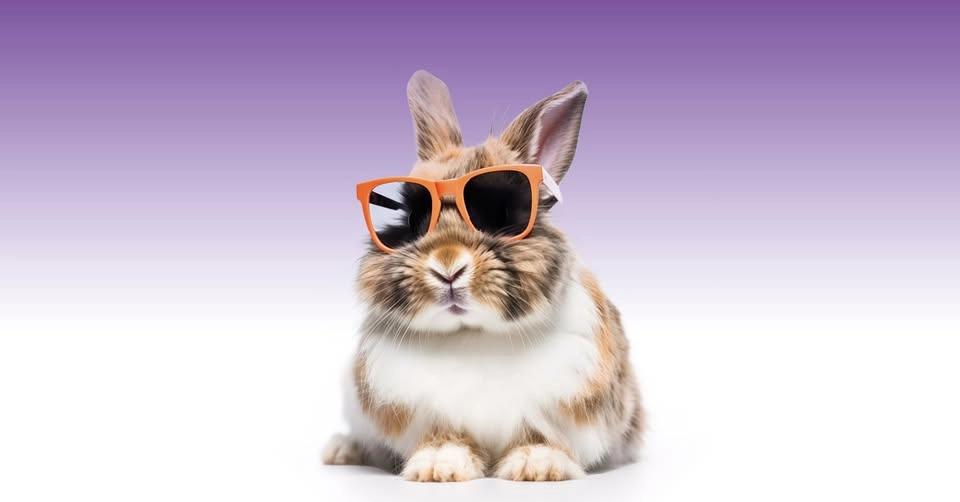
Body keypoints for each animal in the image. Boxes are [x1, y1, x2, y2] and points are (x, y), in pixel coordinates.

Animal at [322, 70, 643, 482]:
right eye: (414, 221)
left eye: (501, 215)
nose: (447, 266)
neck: (473, 334)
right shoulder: (428, 411)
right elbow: (444, 437)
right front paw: (439, 466)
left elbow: (540, 437)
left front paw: (537, 466)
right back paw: (341, 450)